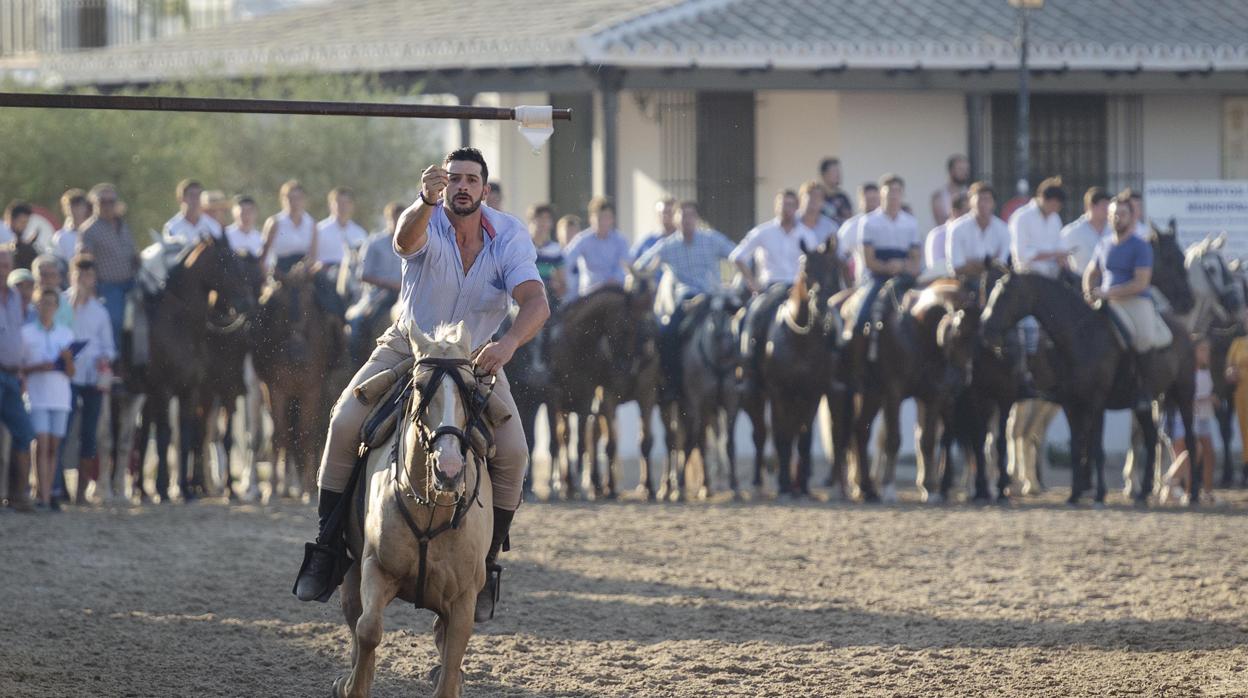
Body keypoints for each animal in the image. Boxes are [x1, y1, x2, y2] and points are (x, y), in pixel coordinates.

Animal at [135, 235, 254, 501]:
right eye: (226, 262)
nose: (246, 303)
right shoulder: (167, 389)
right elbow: (168, 435)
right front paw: (165, 487)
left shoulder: (201, 390)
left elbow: (192, 434)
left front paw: (189, 489)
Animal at [341, 324, 501, 698]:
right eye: (417, 386)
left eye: (471, 390)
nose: (449, 468)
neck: (433, 511)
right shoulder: (376, 567)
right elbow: (368, 629)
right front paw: (353, 685)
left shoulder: (463, 601)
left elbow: (451, 659)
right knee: (354, 616)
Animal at [983, 273, 1198, 506]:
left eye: (1007, 295)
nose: (986, 330)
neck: (1080, 337)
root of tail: (1184, 332)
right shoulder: (1070, 404)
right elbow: (1077, 447)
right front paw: (1075, 494)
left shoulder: (1096, 403)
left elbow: (1096, 449)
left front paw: (1099, 494)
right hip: (1146, 403)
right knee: (1151, 438)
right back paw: (1144, 492)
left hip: (1183, 395)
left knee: (1188, 438)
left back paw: (1191, 494)